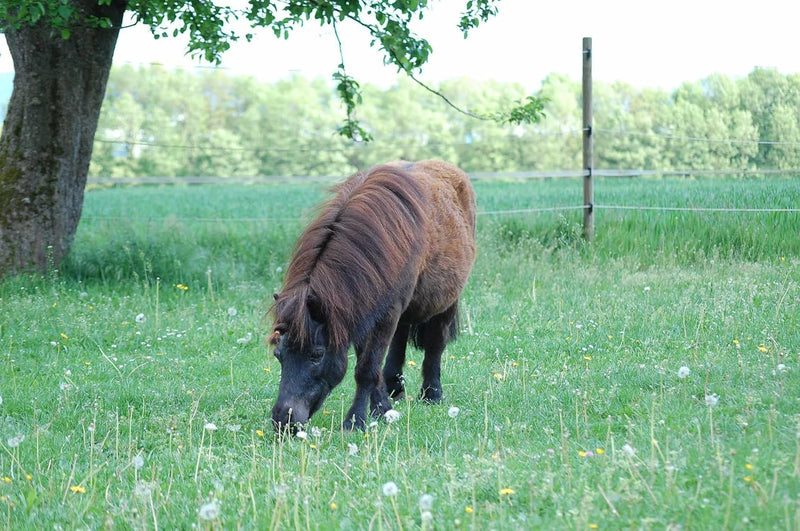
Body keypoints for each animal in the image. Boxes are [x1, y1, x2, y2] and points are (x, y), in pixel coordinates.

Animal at [268, 159, 476, 432]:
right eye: (278, 355)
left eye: (316, 354)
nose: (284, 420)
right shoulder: (362, 311)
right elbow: (371, 364)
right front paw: (382, 409)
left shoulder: (385, 313)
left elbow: (366, 369)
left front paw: (355, 420)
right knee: (399, 341)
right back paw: (395, 388)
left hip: (446, 304)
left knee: (435, 346)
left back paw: (432, 394)